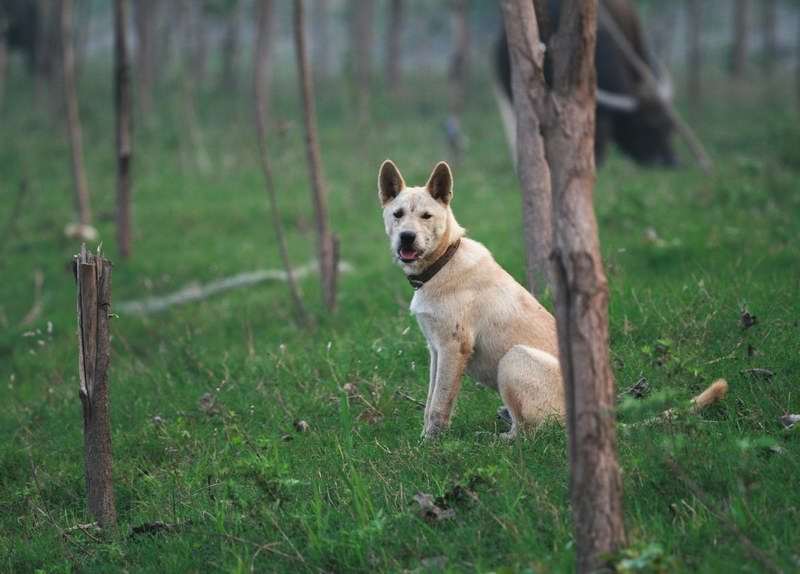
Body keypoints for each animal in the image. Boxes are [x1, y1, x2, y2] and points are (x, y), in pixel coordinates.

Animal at [378, 161, 728, 440]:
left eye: (427, 216)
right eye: (397, 215)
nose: (406, 238)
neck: (443, 262)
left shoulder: (454, 349)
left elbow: (439, 406)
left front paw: (430, 444)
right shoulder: (436, 350)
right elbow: (430, 401)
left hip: (514, 358)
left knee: (532, 433)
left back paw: (497, 440)